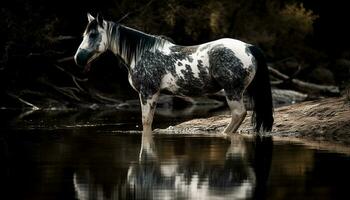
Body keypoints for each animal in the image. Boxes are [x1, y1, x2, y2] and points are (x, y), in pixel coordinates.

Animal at [74, 13, 274, 136]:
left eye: (93, 34)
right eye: (84, 34)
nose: (78, 58)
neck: (142, 53)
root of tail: (248, 47)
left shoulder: (148, 93)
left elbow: (146, 122)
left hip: (233, 91)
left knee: (239, 114)